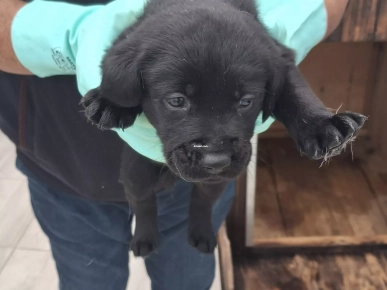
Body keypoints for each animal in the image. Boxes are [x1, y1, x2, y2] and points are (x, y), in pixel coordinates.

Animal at [81, 0, 366, 256]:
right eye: (177, 101)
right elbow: (115, 83)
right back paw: (144, 239)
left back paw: (201, 234)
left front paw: (323, 125)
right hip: (135, 172)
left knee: (202, 201)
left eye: (246, 101)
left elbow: (294, 89)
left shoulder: (279, 54)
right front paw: (106, 101)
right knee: (143, 203)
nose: (216, 160)